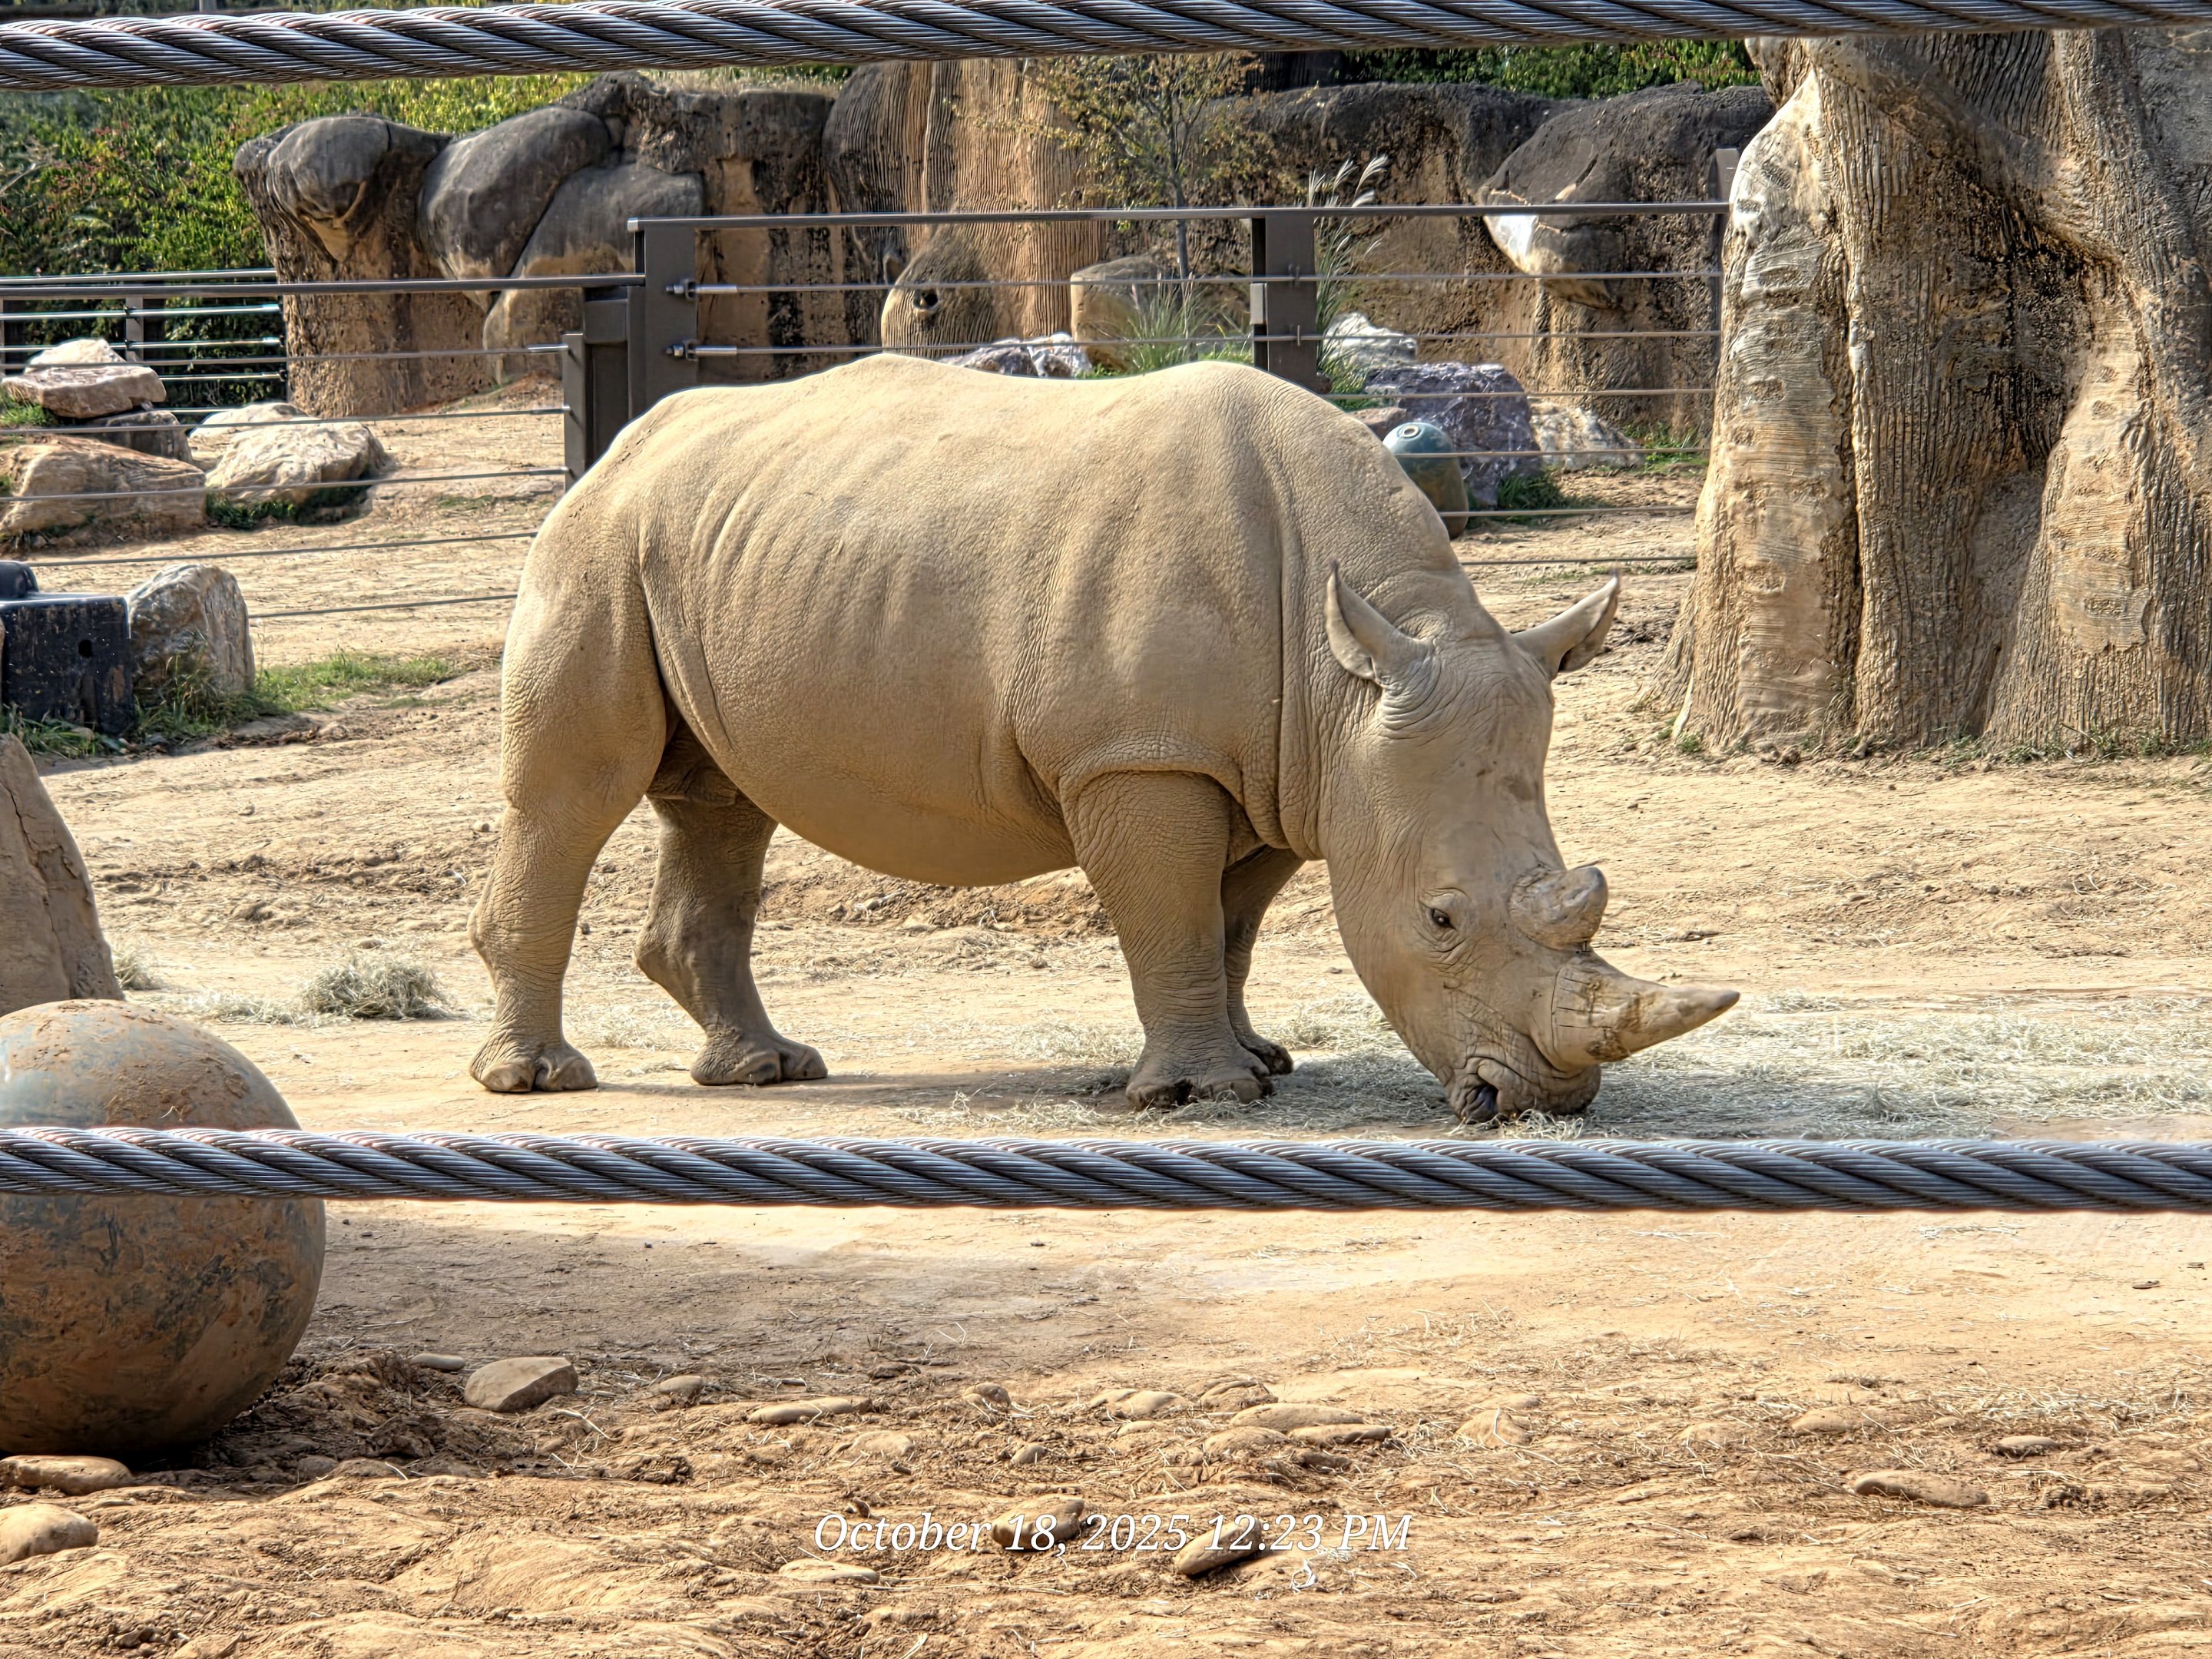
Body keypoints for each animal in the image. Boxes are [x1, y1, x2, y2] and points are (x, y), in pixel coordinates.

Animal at [471, 354, 1735, 1117]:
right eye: (1439, 919)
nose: (1540, 1102)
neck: (1347, 677)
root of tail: (622, 444)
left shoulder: (1281, 769)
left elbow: (1230, 923)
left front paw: (1258, 1063)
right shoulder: (1143, 753)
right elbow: (1170, 914)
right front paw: (1204, 1097)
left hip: (714, 552)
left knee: (724, 805)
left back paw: (765, 1073)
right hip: (594, 545)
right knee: (576, 794)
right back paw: (537, 1083)